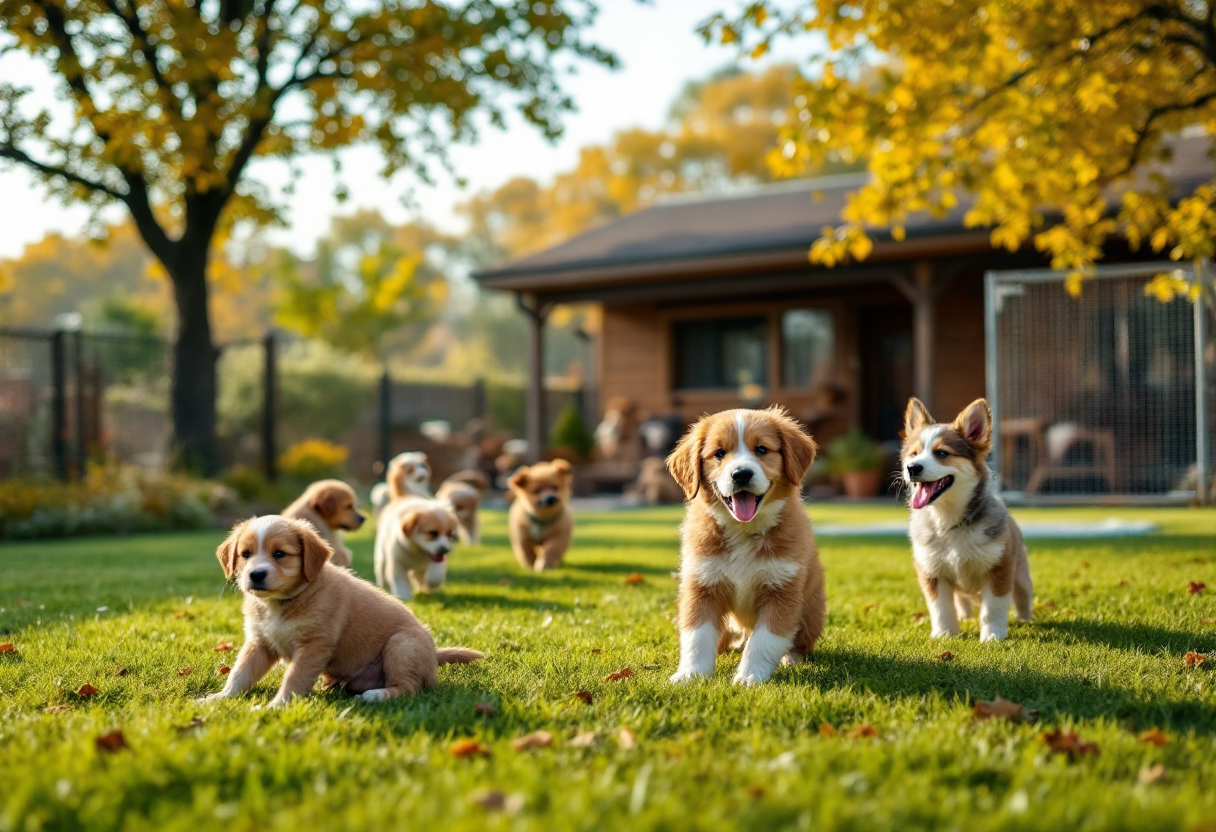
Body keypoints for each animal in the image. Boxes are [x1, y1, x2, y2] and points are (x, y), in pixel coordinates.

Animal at [201, 515, 481, 705]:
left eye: (279, 554)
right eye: (245, 554)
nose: (256, 575)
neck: (282, 603)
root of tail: (434, 655)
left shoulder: (314, 645)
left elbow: (294, 677)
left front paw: (277, 706)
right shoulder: (259, 643)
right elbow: (240, 673)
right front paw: (219, 698)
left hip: (402, 645)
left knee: (409, 687)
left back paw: (376, 695)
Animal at [666, 406, 826, 686]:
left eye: (761, 449)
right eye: (719, 453)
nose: (741, 474)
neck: (743, 530)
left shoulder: (782, 589)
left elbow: (763, 640)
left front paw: (750, 676)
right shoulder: (701, 585)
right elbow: (696, 636)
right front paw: (690, 674)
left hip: (812, 611)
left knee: (801, 641)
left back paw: (792, 658)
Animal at [899, 398, 1031, 642]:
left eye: (941, 453)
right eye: (914, 454)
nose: (912, 468)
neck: (949, 521)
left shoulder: (999, 568)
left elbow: (993, 608)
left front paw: (992, 636)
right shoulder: (932, 570)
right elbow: (941, 608)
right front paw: (945, 634)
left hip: (1021, 575)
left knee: (1023, 596)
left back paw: (1026, 619)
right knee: (960, 600)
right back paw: (965, 617)